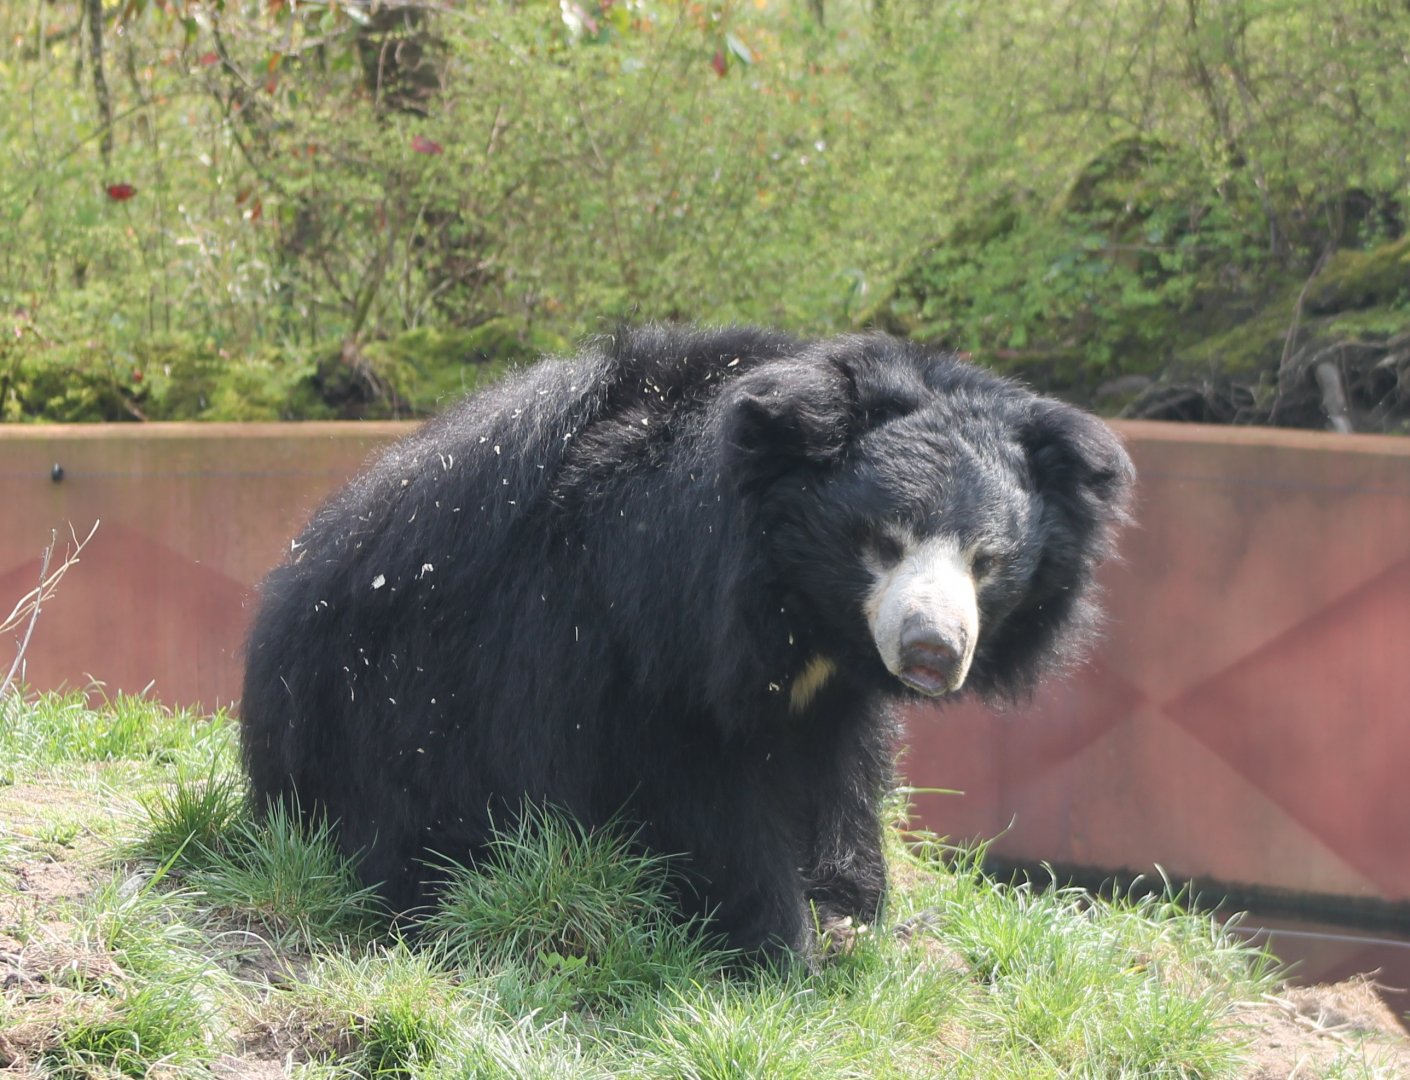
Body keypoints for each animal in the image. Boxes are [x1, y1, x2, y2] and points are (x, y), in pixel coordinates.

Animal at [240, 324, 1133, 962]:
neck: (797, 609)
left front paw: (853, 911)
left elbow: (840, 765)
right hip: (393, 717)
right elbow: (701, 794)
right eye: (881, 542)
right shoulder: (644, 643)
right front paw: (780, 943)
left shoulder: (827, 685)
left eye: (988, 561)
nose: (931, 652)